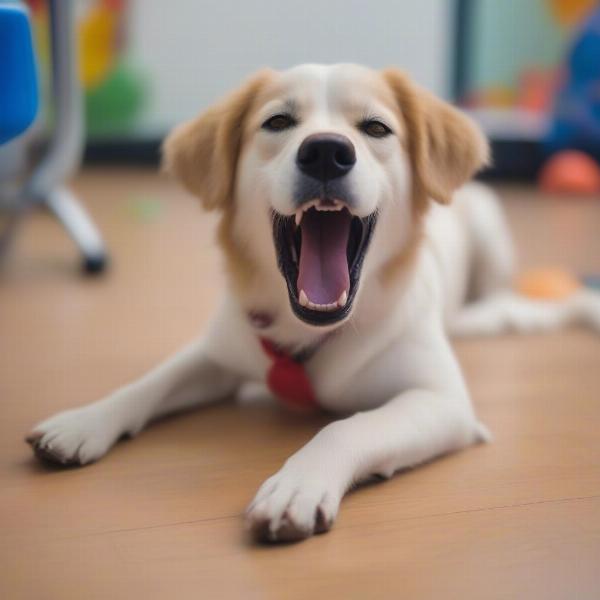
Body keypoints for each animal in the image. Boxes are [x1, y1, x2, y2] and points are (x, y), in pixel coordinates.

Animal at [25, 65, 600, 544]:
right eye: (278, 121)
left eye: (376, 128)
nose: (325, 150)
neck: (315, 331)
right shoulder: (220, 348)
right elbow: (149, 382)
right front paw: (84, 422)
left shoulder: (442, 401)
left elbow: (346, 425)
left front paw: (297, 485)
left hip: (488, 222)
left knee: (499, 297)